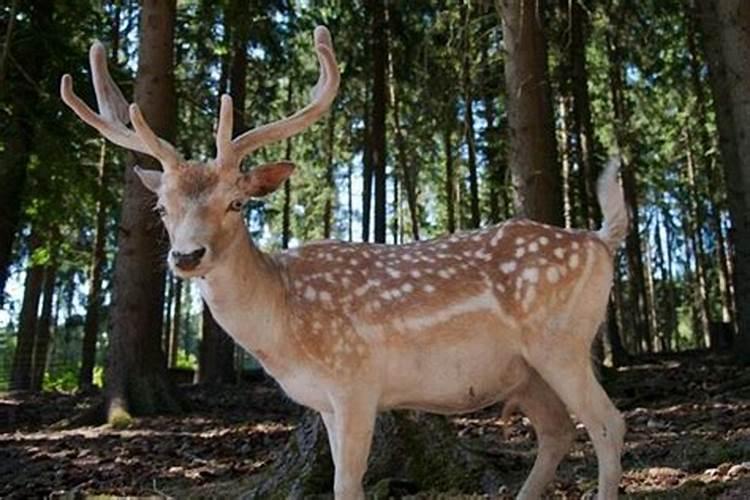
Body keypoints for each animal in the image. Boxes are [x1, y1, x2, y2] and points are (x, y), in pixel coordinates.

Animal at [63, 26, 628, 500]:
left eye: (236, 203)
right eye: (162, 208)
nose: (187, 256)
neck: (284, 323)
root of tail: (599, 240)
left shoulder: (356, 379)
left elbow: (346, 484)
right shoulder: (325, 400)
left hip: (561, 341)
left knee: (607, 423)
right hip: (525, 371)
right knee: (557, 430)